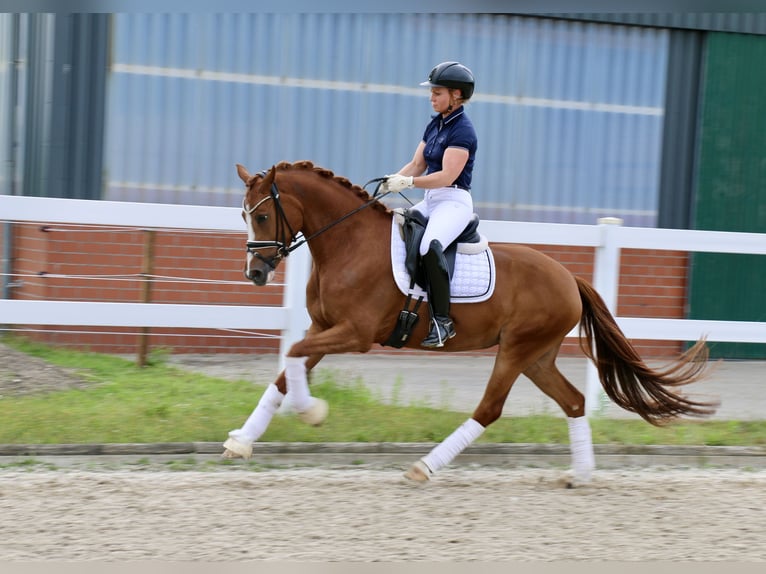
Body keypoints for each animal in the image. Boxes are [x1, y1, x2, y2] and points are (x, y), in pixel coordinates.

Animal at [220, 161, 720, 486]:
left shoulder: (355, 334)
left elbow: (292, 357)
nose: (255, 274)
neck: (347, 243)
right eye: (244, 214)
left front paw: (312, 412)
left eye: (261, 214)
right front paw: (242, 441)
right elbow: (288, 369)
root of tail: (569, 278)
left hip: (516, 350)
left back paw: (425, 467)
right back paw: (580, 475)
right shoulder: (323, 329)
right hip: (537, 356)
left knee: (490, 409)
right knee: (574, 401)